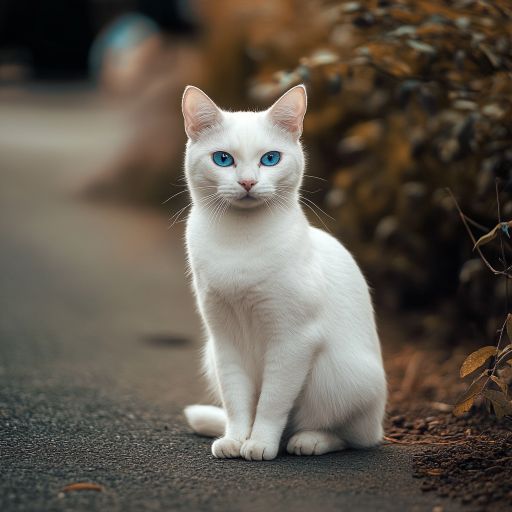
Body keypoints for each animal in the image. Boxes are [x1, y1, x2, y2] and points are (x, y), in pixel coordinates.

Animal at [182, 84, 386, 460]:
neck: (239, 243)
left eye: (270, 159)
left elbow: (272, 403)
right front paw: (236, 438)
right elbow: (237, 401)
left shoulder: (292, 340)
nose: (248, 182)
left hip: (341, 378)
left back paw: (308, 441)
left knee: (353, 436)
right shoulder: (224, 339)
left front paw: (260, 443)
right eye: (223, 159)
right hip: (211, 355)